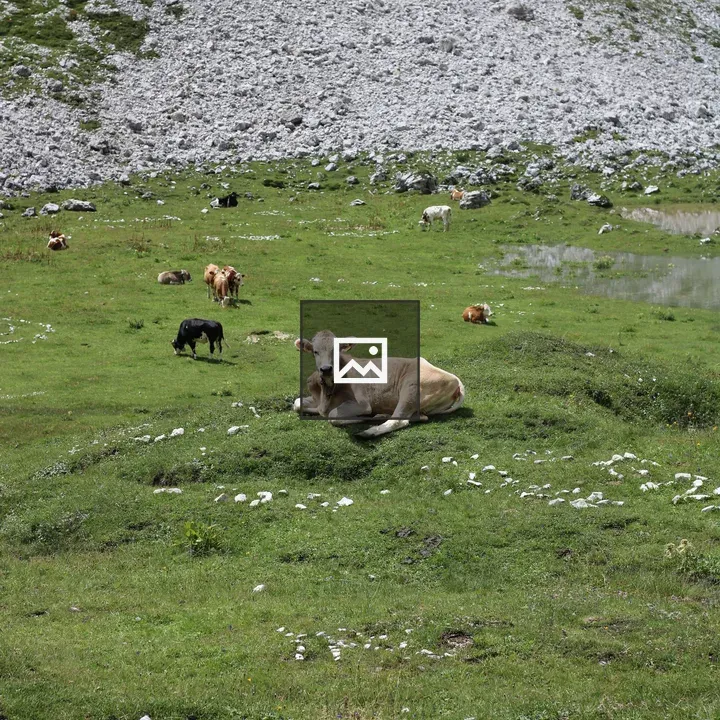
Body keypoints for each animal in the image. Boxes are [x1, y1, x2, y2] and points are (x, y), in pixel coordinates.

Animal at [293, 330, 465, 438]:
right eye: (315, 351)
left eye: (336, 351)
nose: (326, 369)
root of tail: (455, 379)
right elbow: (297, 403)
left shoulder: (362, 404)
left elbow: (333, 416)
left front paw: (363, 418)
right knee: (418, 417)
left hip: (411, 388)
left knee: (399, 420)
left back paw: (369, 431)